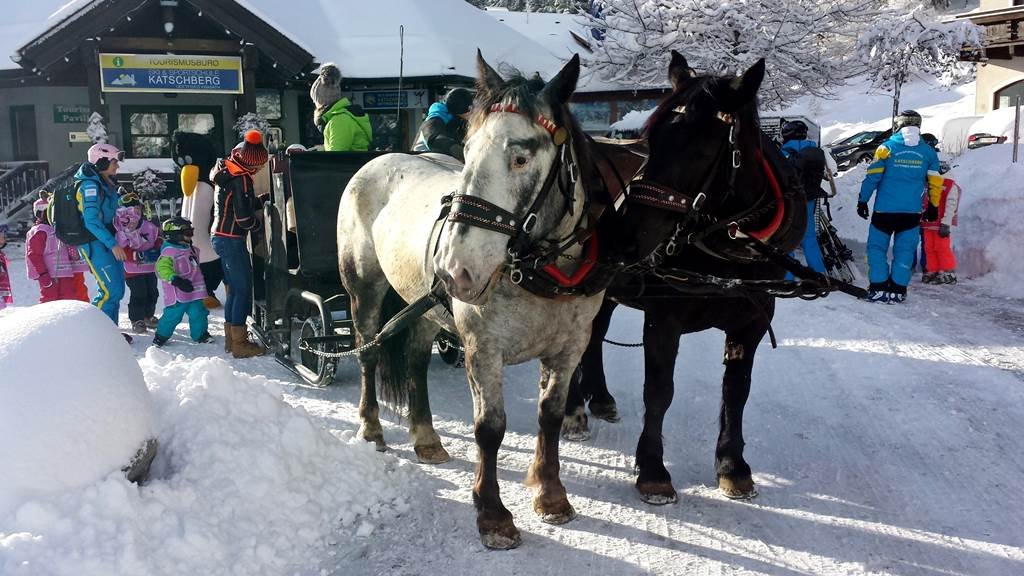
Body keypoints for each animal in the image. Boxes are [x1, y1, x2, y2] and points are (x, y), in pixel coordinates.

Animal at [335, 53, 606, 545]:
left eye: (520, 157)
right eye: (468, 150)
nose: (453, 269)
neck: (538, 270)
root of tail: (382, 159)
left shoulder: (570, 347)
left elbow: (551, 416)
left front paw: (551, 495)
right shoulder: (483, 350)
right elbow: (490, 428)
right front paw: (493, 513)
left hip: (423, 306)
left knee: (415, 360)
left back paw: (426, 438)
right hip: (363, 288)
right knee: (369, 351)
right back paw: (371, 427)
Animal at [561, 51, 806, 504]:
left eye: (701, 147)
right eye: (650, 142)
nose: (619, 235)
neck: (727, 249)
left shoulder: (752, 320)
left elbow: (736, 391)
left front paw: (732, 465)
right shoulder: (664, 319)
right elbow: (659, 392)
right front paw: (653, 470)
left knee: (594, 335)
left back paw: (599, 397)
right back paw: (572, 410)